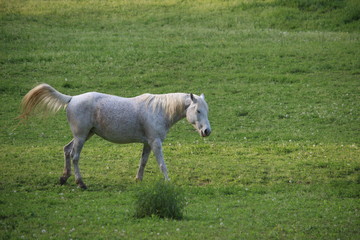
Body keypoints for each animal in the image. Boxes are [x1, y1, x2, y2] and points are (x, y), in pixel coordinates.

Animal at [19, 84, 211, 189]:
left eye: (206, 110)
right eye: (198, 110)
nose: (207, 131)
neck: (159, 110)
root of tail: (72, 98)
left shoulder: (148, 143)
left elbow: (143, 162)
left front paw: (138, 180)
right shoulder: (156, 143)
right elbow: (162, 164)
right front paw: (168, 181)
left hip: (85, 135)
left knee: (66, 150)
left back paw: (64, 178)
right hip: (81, 137)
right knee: (74, 156)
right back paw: (80, 183)